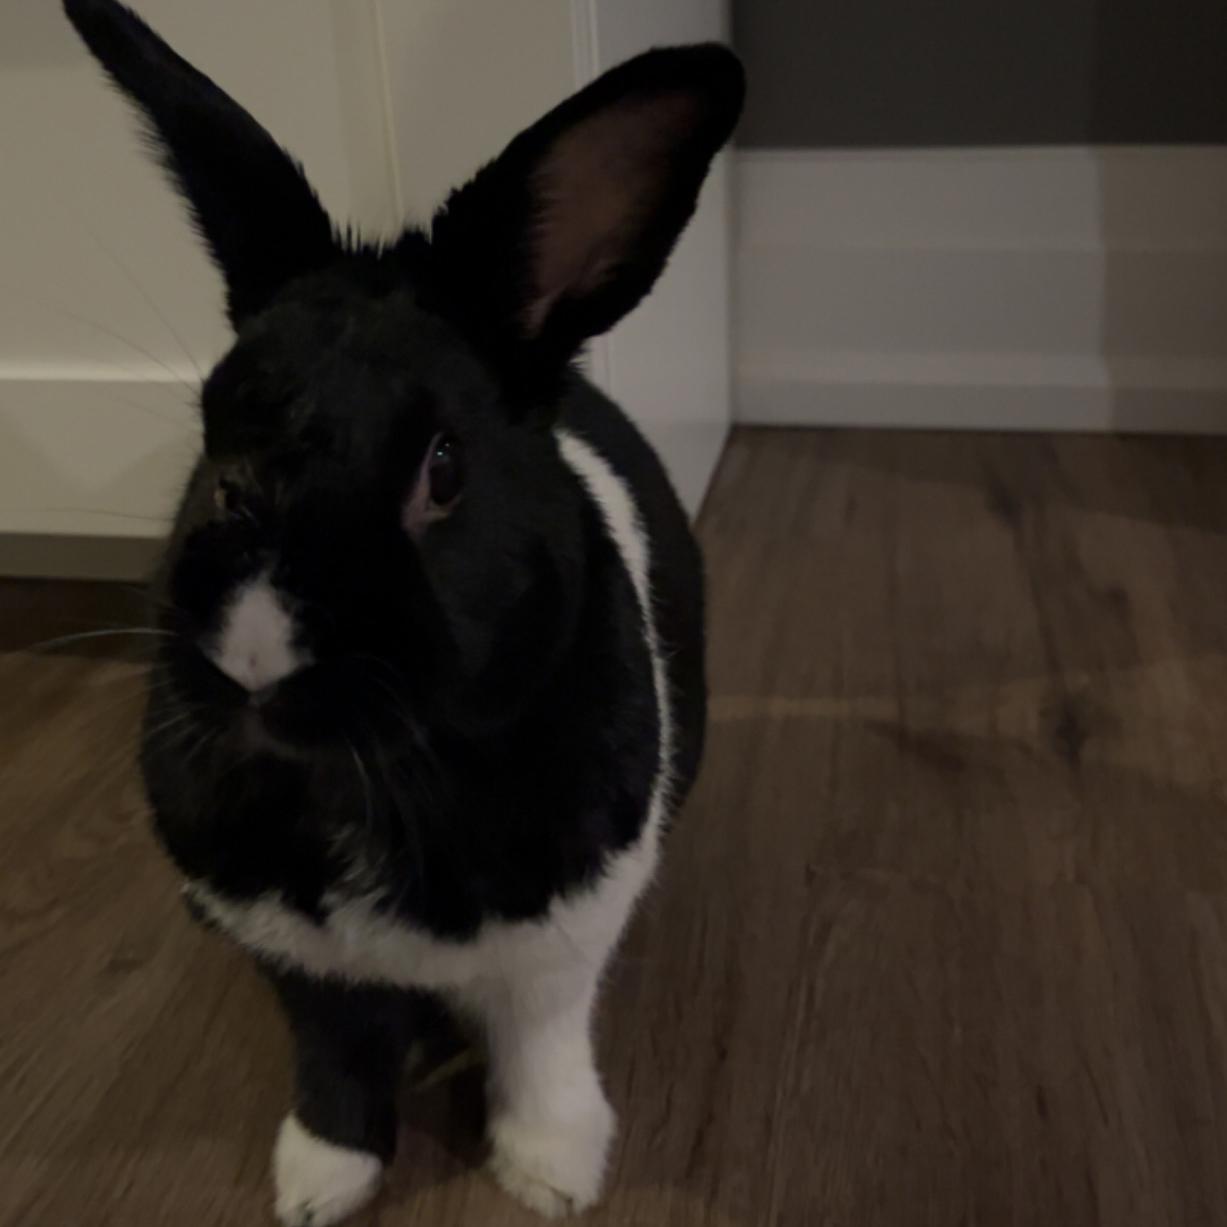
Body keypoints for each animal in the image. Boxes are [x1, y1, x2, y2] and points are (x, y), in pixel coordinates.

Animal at [63, 0, 743, 1223]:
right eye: (215, 450)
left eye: (444, 469)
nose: (256, 658)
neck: (363, 777)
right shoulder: (296, 956)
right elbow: (335, 1051)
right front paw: (317, 1183)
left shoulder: (562, 939)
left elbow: (542, 1042)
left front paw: (551, 1172)